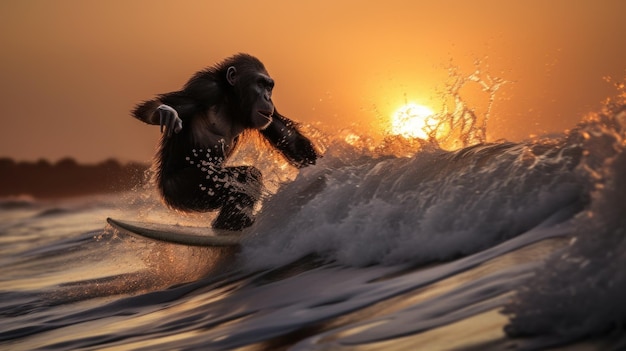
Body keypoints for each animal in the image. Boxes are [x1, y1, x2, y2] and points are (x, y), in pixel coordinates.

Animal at [132, 53, 316, 231]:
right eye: (260, 83)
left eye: (269, 86)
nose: (267, 97)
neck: (230, 100)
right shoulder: (204, 88)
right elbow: (170, 104)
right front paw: (166, 112)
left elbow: (288, 136)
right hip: (182, 187)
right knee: (245, 176)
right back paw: (231, 222)